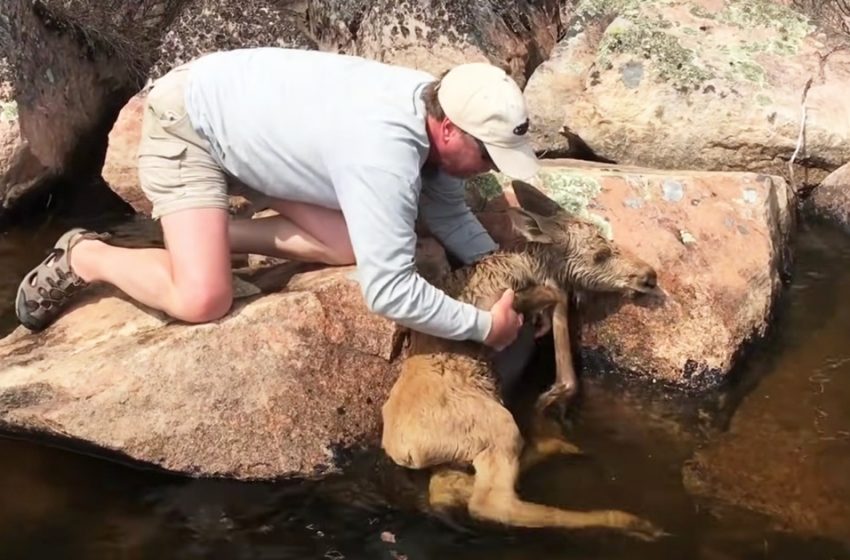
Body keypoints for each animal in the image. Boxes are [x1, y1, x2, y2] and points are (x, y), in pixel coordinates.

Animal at [378, 182, 664, 540]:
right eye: (599, 254)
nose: (649, 275)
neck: (529, 264)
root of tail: (406, 451)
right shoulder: (505, 304)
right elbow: (556, 299)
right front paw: (554, 395)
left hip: (457, 454)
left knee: (448, 491)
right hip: (495, 428)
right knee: (491, 503)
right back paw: (628, 520)